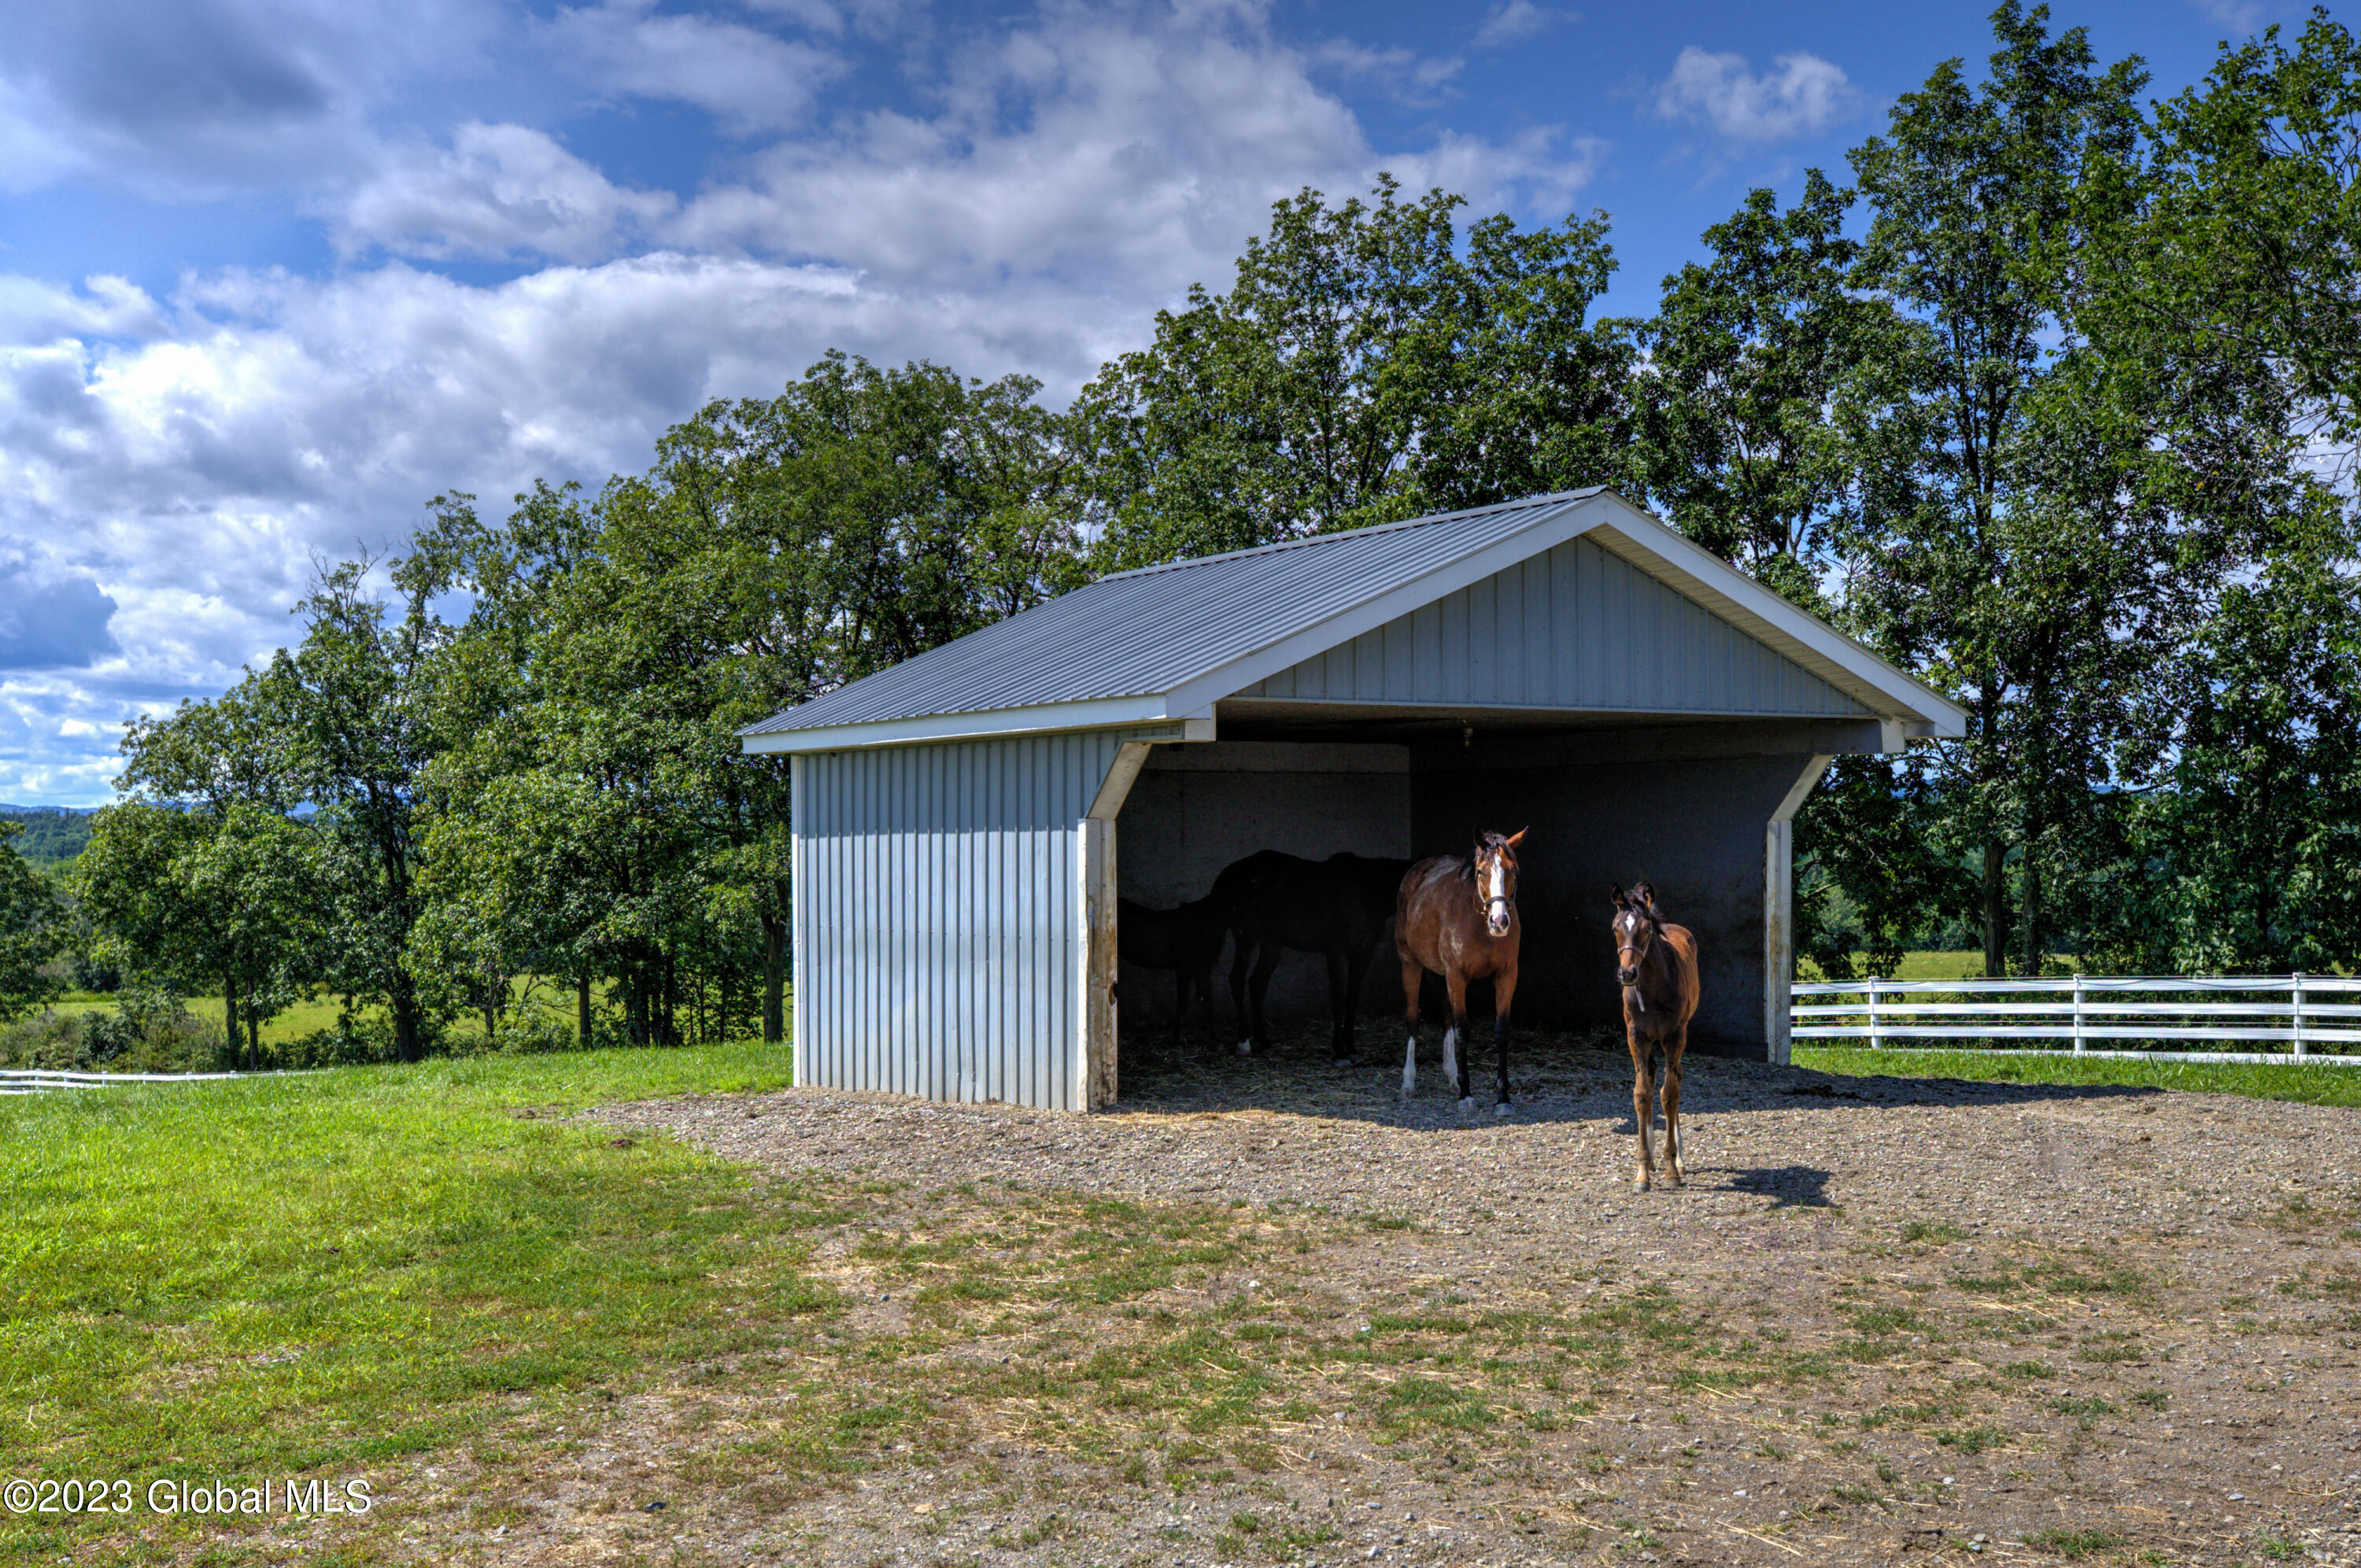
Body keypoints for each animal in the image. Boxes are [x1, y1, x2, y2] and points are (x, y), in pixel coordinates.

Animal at [1114, 902, 1228, 1048]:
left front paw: (1215, 1038)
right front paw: (1177, 1039)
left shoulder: (1201, 969)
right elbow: (1183, 1003)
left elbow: (1207, 1000)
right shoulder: (1185, 969)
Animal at [1209, 850, 1407, 1057]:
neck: (1366, 892)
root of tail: (1229, 874)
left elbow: (1352, 1000)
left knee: (1257, 982)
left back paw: (1263, 1039)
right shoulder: (1337, 953)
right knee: (1237, 979)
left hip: (1272, 943)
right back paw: (1243, 1042)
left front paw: (1351, 1048)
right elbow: (1339, 1001)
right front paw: (1339, 1050)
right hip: (1246, 938)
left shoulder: (1363, 955)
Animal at [1398, 831, 1530, 1114]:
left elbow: (1501, 1031)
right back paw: (1408, 1082)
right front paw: (1466, 1095)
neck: (1479, 923)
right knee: (1413, 1017)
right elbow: (1463, 1031)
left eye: (1512, 870)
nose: (1499, 922)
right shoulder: (1457, 977)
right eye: (1481, 872)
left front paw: (1503, 1098)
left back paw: (1451, 1076)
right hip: (1410, 963)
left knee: (1446, 1015)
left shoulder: (1507, 977)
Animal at [1615, 883, 1709, 1190]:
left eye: (1646, 929)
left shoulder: (1674, 1037)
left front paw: (1672, 1170)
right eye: (1615, 928)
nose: (1627, 974)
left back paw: (1679, 1159)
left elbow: (1669, 1094)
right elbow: (1642, 1094)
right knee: (1653, 1077)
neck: (1653, 988)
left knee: (1675, 1080)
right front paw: (1643, 1171)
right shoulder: (1637, 1038)